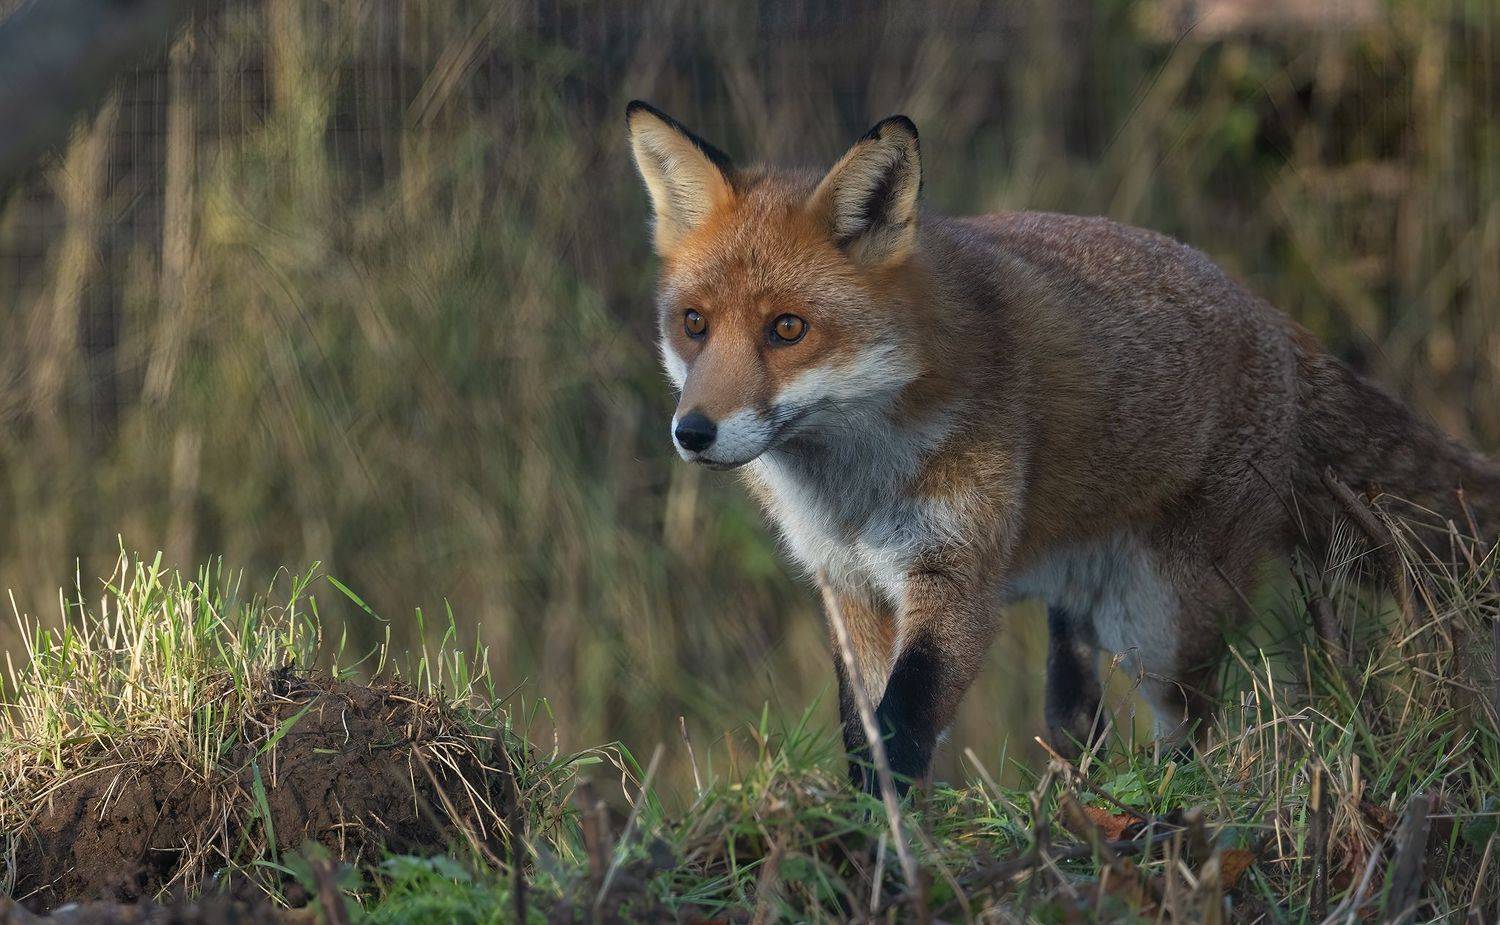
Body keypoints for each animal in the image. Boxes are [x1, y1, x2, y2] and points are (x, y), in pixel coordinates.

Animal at [626, 100, 1500, 795]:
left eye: (787, 328)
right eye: (694, 324)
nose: (692, 432)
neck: (854, 491)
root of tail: (1273, 320)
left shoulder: (957, 579)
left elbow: (904, 723)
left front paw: (883, 852)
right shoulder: (851, 588)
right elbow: (863, 731)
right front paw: (870, 826)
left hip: (1158, 622)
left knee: (1193, 726)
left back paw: (1166, 805)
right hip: (1077, 606)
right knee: (1079, 721)